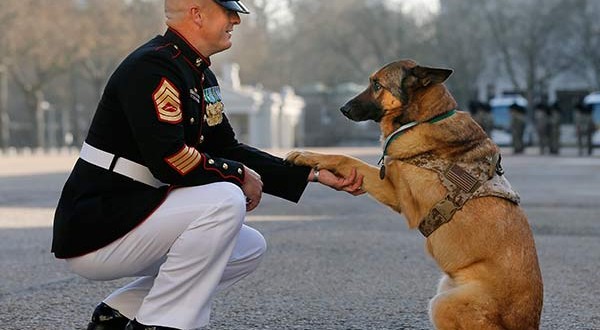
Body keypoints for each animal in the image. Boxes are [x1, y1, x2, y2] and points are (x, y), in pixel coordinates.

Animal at [286, 59, 544, 330]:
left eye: (377, 85)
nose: (342, 109)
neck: (425, 119)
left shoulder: (399, 196)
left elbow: (346, 158)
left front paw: (305, 155)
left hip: (442, 304)